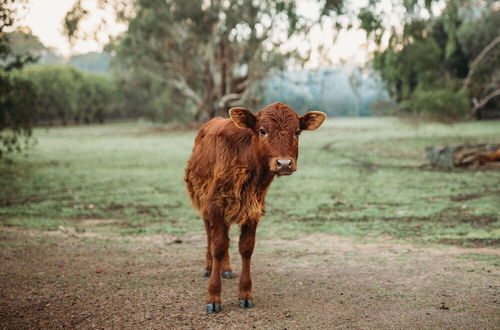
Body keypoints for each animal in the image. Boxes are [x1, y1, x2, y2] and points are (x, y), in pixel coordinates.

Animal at [186, 102, 326, 314]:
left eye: (297, 132)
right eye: (262, 130)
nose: (284, 163)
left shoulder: (253, 208)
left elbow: (246, 247)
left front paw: (245, 294)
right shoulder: (215, 206)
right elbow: (218, 247)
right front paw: (213, 296)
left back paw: (226, 269)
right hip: (203, 203)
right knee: (210, 236)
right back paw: (210, 267)